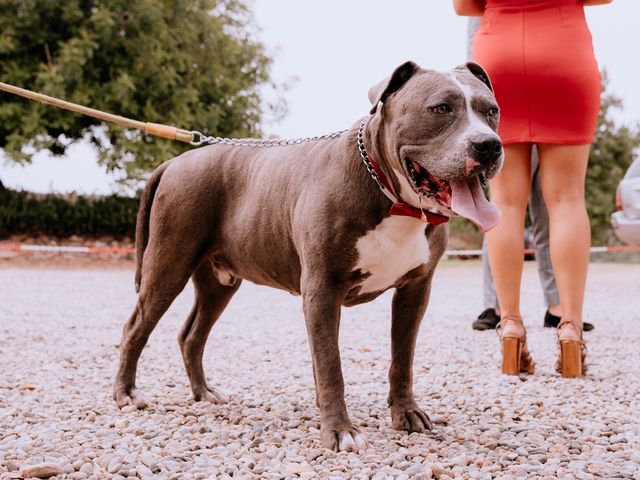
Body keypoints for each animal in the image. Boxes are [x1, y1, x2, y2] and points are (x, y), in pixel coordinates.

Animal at [115, 60, 504, 450]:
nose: (489, 145)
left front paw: (406, 412)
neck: (391, 197)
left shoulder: (415, 290)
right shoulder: (322, 289)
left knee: (191, 335)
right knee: (136, 327)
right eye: (441, 109)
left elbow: (402, 357)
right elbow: (330, 364)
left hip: (218, 284)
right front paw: (340, 430)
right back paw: (127, 393)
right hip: (168, 265)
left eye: (492, 111)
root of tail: (174, 163)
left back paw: (203, 392)